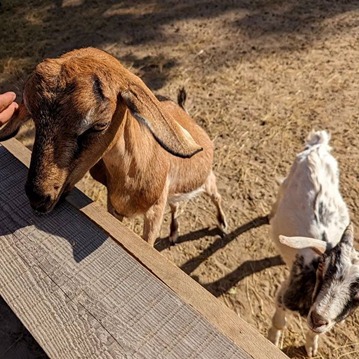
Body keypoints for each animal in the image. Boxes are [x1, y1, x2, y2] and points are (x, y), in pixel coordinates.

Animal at [0, 47, 228, 246]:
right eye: (33, 117)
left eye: (99, 125)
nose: (38, 197)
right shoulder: (115, 208)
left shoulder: (154, 211)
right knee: (177, 204)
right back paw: (173, 233)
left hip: (207, 180)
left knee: (216, 196)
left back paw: (223, 225)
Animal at [268, 131, 359, 358]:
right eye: (322, 269)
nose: (318, 318)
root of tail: (318, 147)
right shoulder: (283, 295)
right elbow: (279, 322)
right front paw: (273, 341)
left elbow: (314, 333)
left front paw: (311, 347)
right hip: (289, 176)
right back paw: (271, 214)